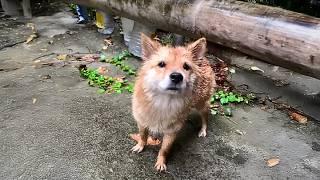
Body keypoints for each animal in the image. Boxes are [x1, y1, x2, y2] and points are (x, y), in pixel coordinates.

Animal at [131, 33, 216, 172]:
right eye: (161, 64)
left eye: (186, 67)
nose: (177, 76)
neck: (163, 102)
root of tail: (204, 59)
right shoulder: (142, 122)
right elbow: (143, 136)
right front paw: (141, 145)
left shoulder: (171, 132)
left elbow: (164, 149)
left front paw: (161, 161)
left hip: (201, 104)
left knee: (205, 116)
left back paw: (203, 129)